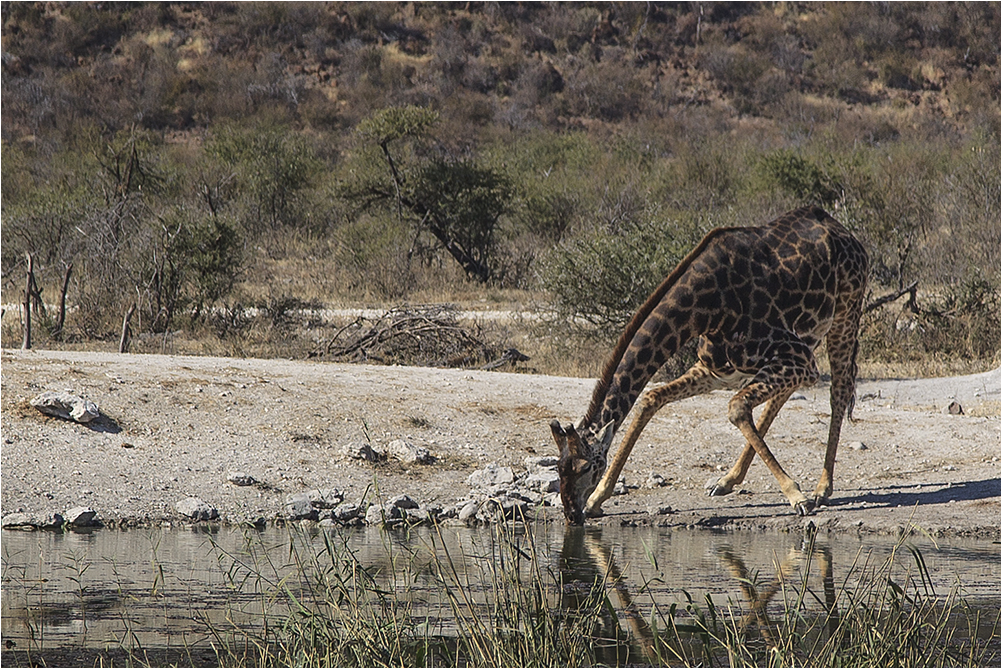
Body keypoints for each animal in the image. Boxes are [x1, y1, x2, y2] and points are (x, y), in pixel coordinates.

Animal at [553, 204, 865, 520]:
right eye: (559, 468)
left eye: (587, 468)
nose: (571, 513)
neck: (705, 309)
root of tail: (844, 232)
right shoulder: (716, 371)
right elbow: (650, 399)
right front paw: (598, 498)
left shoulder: (796, 355)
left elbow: (737, 408)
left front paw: (796, 495)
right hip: (809, 335)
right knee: (784, 395)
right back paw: (727, 480)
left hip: (844, 314)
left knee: (839, 391)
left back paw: (822, 489)